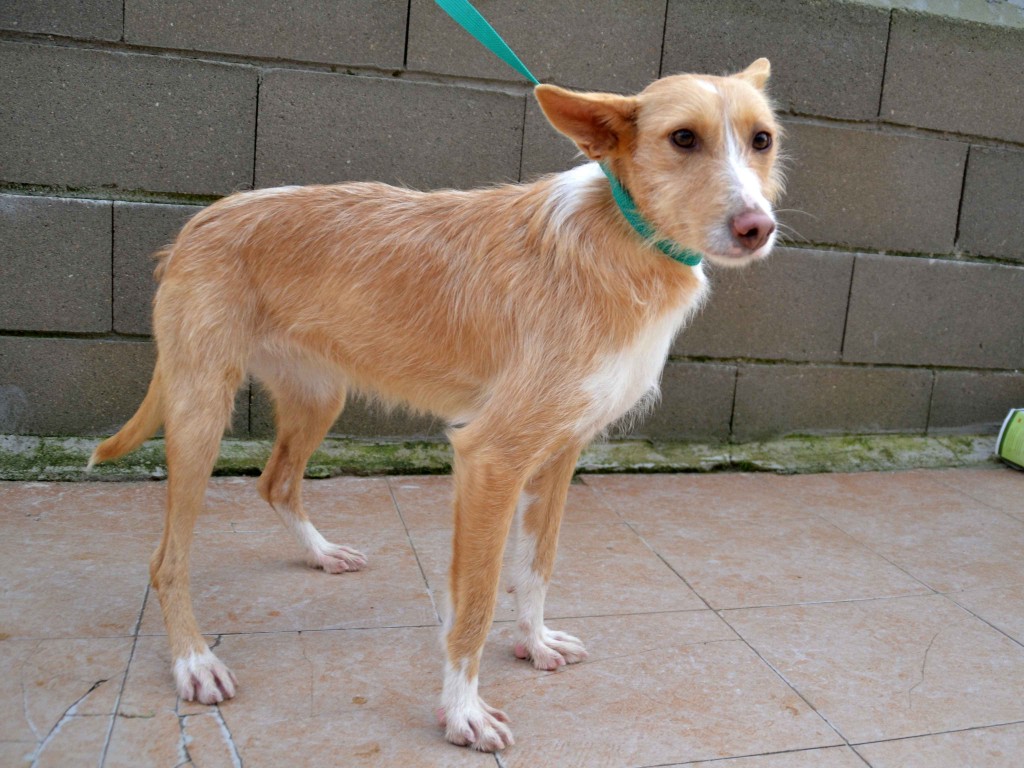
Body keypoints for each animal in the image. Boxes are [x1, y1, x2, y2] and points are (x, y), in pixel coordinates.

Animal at [94, 58, 782, 753]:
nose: (758, 228)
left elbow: (536, 567)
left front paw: (533, 641)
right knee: (166, 561)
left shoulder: (559, 454)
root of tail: (197, 223)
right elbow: (475, 602)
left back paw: (320, 553)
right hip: (200, 412)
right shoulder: (492, 458)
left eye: (762, 140)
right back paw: (194, 660)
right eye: (683, 139)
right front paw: (462, 711)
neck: (624, 234)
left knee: (276, 482)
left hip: (319, 395)